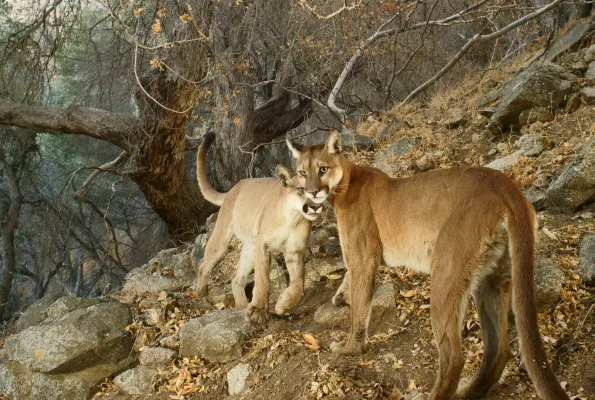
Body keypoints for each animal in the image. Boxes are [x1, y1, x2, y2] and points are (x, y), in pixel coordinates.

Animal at [197, 133, 324, 324]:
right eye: (301, 190)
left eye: (322, 189)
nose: (315, 207)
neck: (292, 218)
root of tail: (235, 186)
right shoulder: (263, 245)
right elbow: (263, 279)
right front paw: (258, 310)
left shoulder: (294, 250)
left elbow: (298, 281)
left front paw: (283, 305)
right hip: (223, 238)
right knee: (204, 264)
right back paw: (201, 293)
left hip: (250, 247)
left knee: (236, 278)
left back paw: (241, 305)